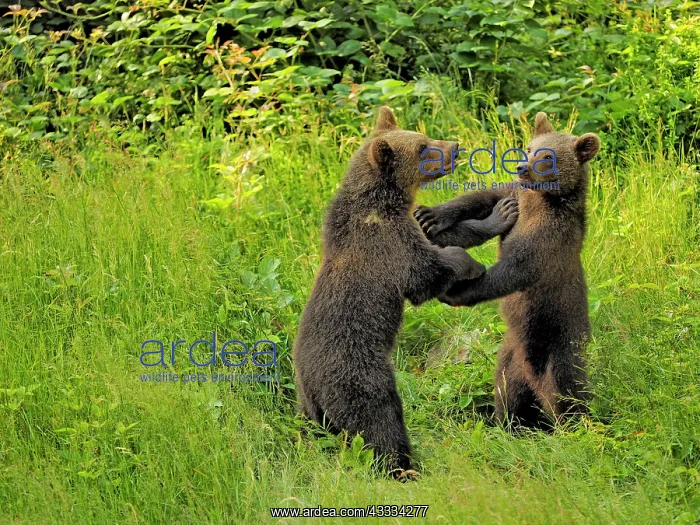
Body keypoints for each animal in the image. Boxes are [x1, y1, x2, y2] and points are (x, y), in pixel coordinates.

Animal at [293, 106, 518, 478]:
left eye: (424, 137)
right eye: (424, 147)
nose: (454, 146)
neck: (383, 202)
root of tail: (311, 385)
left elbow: (441, 235)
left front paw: (497, 214)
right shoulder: (387, 244)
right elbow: (425, 271)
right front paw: (471, 263)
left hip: (310, 409)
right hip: (359, 375)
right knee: (378, 421)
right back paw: (402, 467)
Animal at [414, 112, 600, 429]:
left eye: (548, 156)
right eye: (529, 147)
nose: (522, 167)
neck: (542, 200)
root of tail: (533, 378)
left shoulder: (549, 236)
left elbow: (515, 270)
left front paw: (457, 292)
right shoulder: (515, 196)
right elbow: (481, 198)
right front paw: (431, 217)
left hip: (558, 342)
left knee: (568, 391)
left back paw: (574, 425)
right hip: (509, 358)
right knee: (507, 392)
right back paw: (510, 424)